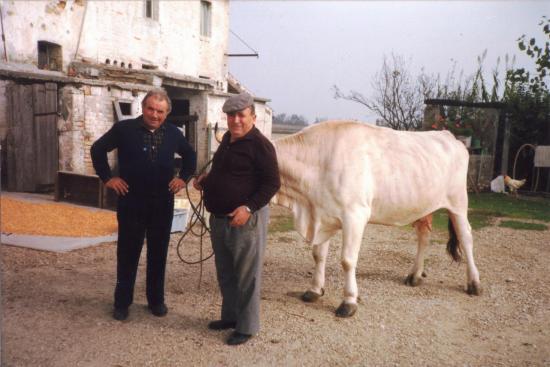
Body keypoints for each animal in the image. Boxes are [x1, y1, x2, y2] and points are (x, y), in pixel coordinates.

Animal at [272, 121, 484, 320]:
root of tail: (449, 136)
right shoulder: (323, 215)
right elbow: (318, 255)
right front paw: (314, 290)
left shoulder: (355, 215)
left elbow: (347, 260)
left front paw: (349, 301)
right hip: (425, 206)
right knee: (424, 236)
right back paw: (415, 275)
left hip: (458, 202)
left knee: (466, 237)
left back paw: (474, 283)